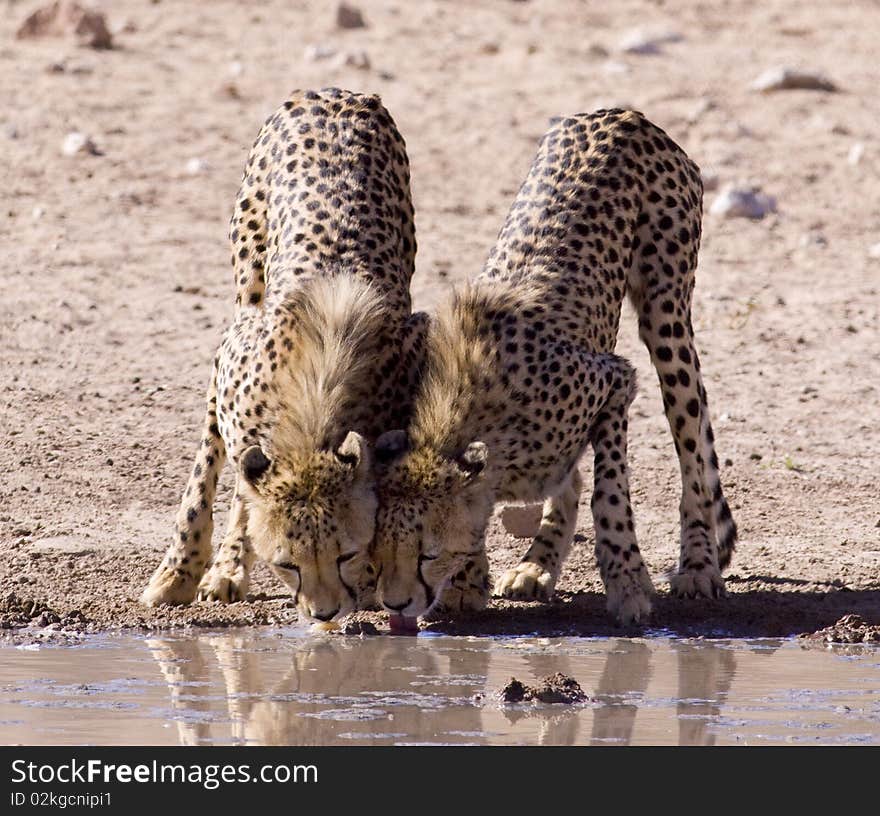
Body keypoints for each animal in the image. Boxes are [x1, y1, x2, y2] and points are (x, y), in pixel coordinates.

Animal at [140, 89, 422, 620]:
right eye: (288, 563)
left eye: (346, 553)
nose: (325, 612)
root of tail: (338, 92)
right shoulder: (229, 358)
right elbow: (211, 473)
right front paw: (187, 571)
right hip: (246, 280)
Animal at [374, 108, 740, 624]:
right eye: (375, 554)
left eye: (427, 553)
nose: (395, 604)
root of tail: (620, 113)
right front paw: (470, 580)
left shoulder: (615, 380)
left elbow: (610, 495)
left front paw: (629, 584)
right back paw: (536, 567)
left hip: (667, 314)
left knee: (690, 447)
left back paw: (698, 565)